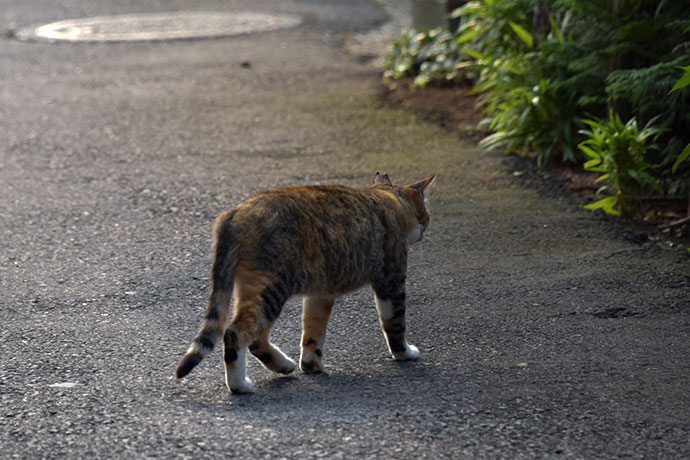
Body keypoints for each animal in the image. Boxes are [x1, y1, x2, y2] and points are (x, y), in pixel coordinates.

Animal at [176, 171, 436, 394]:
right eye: (426, 216)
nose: (425, 228)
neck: (388, 199)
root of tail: (235, 213)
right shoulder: (391, 279)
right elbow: (394, 323)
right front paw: (404, 353)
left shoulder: (321, 293)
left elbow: (313, 331)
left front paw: (311, 364)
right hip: (270, 285)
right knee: (236, 333)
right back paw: (239, 385)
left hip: (252, 287)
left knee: (256, 338)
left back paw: (283, 365)